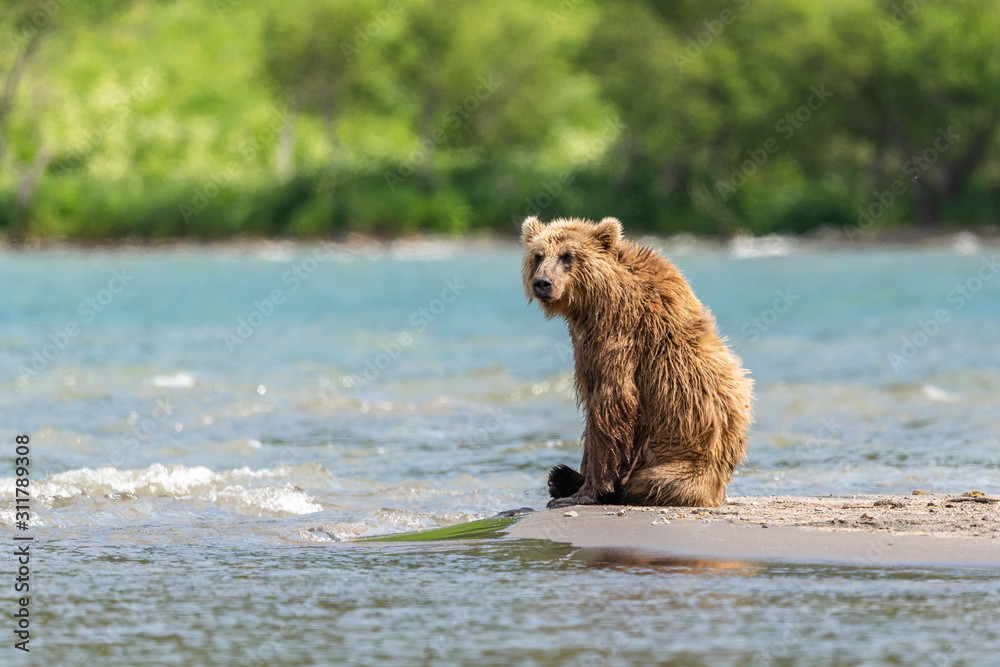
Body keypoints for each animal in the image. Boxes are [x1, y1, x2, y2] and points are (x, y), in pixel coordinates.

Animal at [521, 215, 753, 508]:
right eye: (538, 255)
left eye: (567, 256)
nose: (543, 283)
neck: (591, 303)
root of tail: (718, 490)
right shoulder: (585, 345)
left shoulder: (618, 333)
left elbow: (611, 401)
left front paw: (582, 493)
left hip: (683, 460)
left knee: (651, 483)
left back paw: (566, 479)